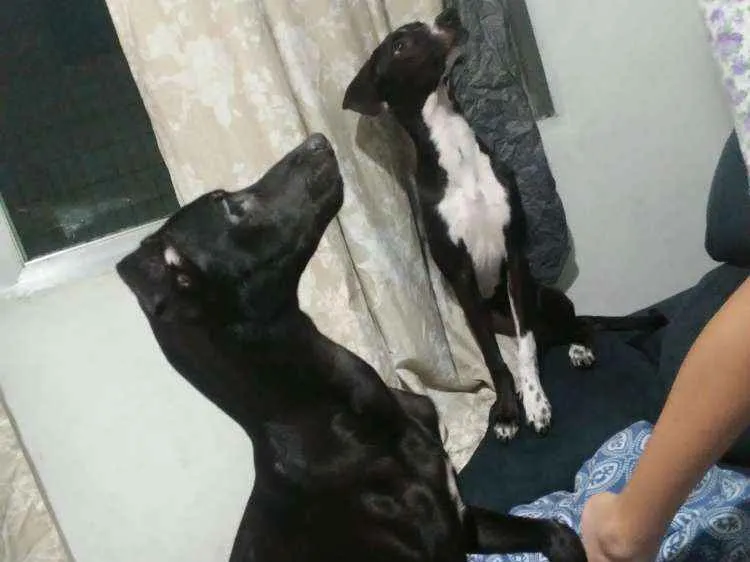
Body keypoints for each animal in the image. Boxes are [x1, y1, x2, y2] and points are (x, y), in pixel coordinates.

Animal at [117, 134, 587, 562]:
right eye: (231, 208)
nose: (316, 140)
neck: (335, 412)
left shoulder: (464, 519)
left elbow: (560, 531)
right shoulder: (447, 547)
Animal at [343, 8, 665, 441]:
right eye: (400, 44)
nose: (449, 14)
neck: (459, 156)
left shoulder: (514, 257)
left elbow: (525, 348)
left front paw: (537, 403)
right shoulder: (462, 280)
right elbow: (494, 360)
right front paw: (509, 410)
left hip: (546, 299)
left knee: (577, 325)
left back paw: (579, 348)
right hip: (497, 314)